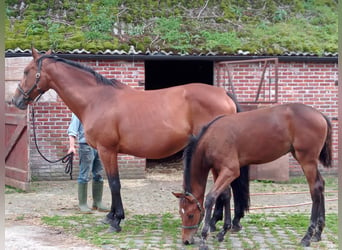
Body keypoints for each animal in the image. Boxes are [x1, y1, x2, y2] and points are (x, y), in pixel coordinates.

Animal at [12, 48, 250, 232]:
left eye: (26, 71)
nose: (15, 100)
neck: (97, 99)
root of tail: (224, 94)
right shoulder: (103, 152)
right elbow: (108, 183)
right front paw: (110, 216)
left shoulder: (107, 150)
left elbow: (115, 183)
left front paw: (116, 221)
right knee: (225, 190)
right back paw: (221, 223)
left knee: (225, 190)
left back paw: (218, 225)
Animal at [174, 102, 332, 247]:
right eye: (180, 213)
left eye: (190, 215)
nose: (186, 240)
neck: (212, 138)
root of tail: (321, 115)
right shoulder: (219, 170)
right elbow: (225, 195)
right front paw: (223, 231)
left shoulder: (231, 170)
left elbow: (211, 198)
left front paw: (204, 237)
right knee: (321, 185)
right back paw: (318, 233)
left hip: (307, 161)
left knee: (315, 189)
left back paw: (307, 236)